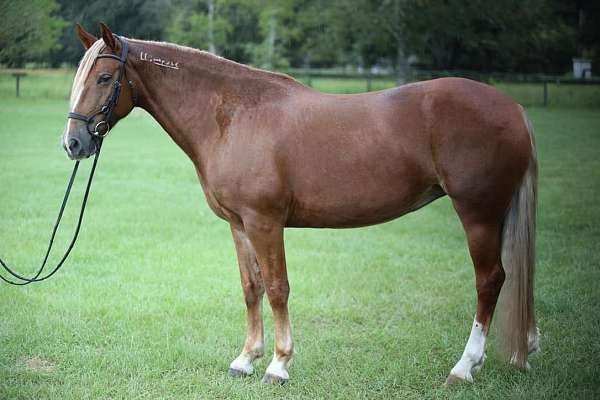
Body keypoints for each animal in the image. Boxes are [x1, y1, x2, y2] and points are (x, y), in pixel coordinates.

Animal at [63, 24, 536, 384]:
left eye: (103, 79)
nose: (73, 143)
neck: (233, 116)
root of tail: (513, 108)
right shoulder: (239, 224)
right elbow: (251, 288)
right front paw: (245, 360)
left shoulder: (265, 222)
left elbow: (277, 289)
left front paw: (278, 365)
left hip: (477, 214)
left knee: (490, 281)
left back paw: (463, 368)